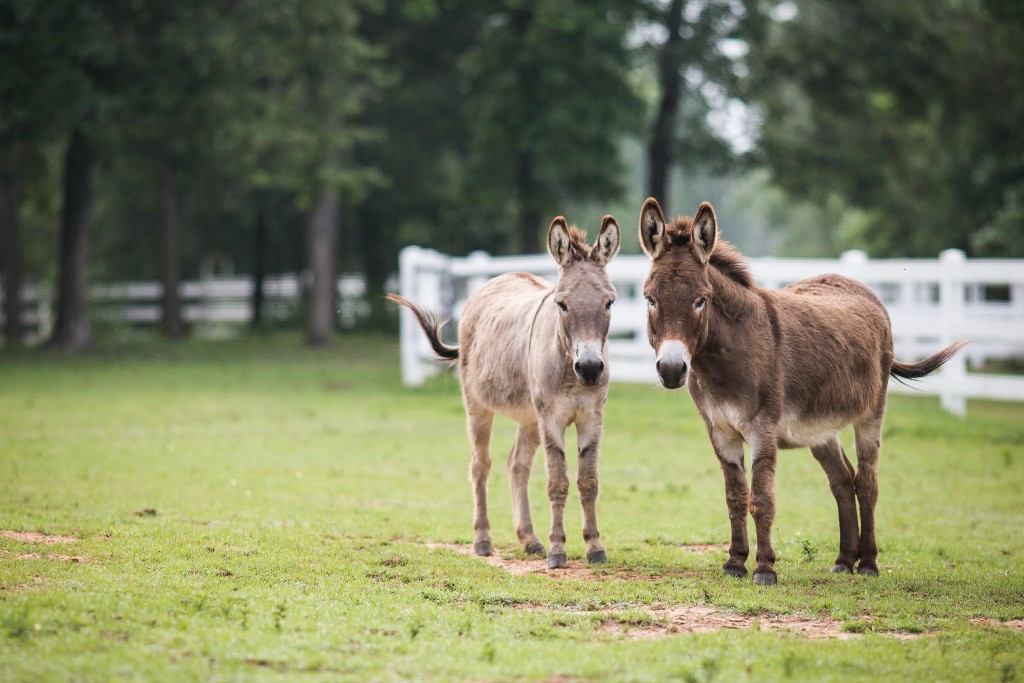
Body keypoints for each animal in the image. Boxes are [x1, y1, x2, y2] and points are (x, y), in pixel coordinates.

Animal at [387, 215, 621, 569]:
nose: (592, 368)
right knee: (480, 466)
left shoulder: (592, 418)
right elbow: (557, 482)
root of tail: (498, 278)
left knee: (516, 465)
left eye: (609, 302)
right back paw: (483, 541)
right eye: (562, 304)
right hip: (478, 406)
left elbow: (588, 481)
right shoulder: (551, 419)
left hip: (529, 417)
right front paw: (557, 551)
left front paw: (594, 546)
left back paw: (529, 539)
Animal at [637, 197, 966, 585]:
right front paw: (735, 563)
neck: (724, 358)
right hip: (819, 427)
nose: (672, 370)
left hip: (872, 411)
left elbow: (762, 499)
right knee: (843, 480)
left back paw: (868, 564)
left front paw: (765, 569)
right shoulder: (719, 430)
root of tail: (857, 284)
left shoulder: (762, 427)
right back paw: (844, 560)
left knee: (867, 482)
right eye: (650, 300)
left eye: (701, 301)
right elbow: (735, 497)